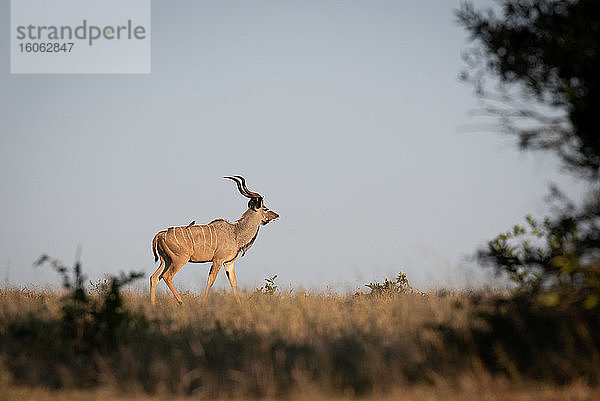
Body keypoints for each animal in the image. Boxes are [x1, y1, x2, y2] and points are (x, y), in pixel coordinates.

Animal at [151, 175, 280, 304]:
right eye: (265, 208)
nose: (277, 216)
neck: (236, 232)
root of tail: (160, 235)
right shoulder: (218, 260)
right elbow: (211, 280)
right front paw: (203, 303)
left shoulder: (229, 262)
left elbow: (233, 282)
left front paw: (239, 304)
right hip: (179, 260)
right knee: (167, 276)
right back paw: (181, 302)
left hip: (166, 260)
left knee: (154, 277)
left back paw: (153, 304)